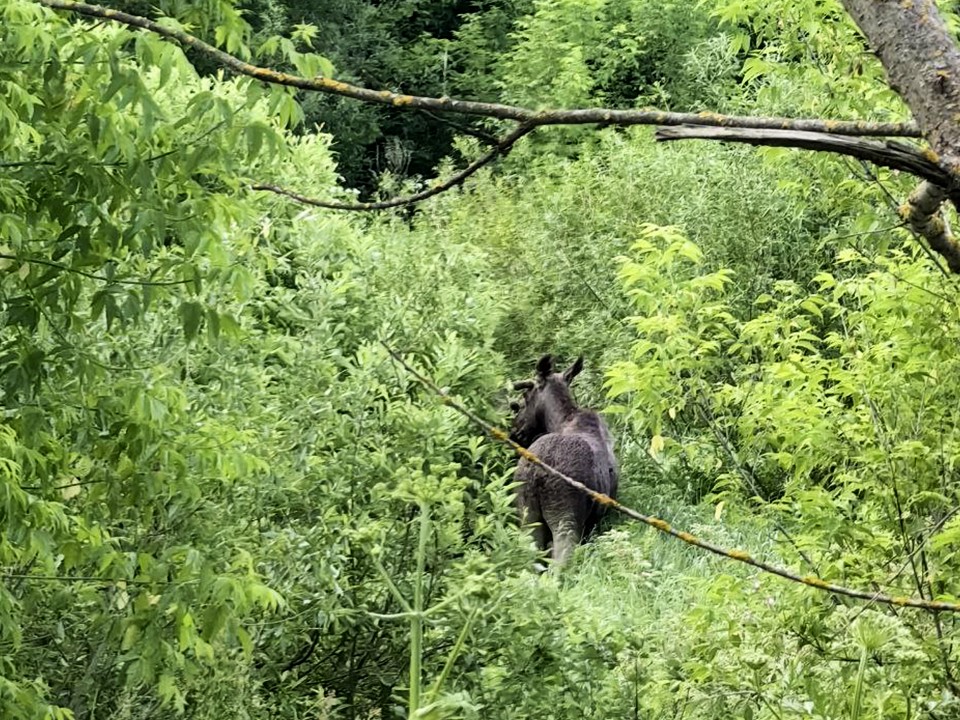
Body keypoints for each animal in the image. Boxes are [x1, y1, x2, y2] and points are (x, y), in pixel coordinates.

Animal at [506, 354, 620, 568]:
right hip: (565, 517)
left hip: (529, 513)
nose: (514, 431)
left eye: (525, 396)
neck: (557, 421)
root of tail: (538, 472)